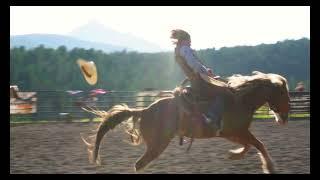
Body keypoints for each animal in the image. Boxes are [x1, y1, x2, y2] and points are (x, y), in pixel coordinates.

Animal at [80, 71, 290, 174]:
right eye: (284, 94)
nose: (284, 118)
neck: (240, 100)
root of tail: (144, 111)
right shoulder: (236, 131)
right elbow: (258, 145)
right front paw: (269, 168)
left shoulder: (233, 133)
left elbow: (250, 145)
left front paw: (233, 154)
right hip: (157, 145)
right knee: (139, 165)